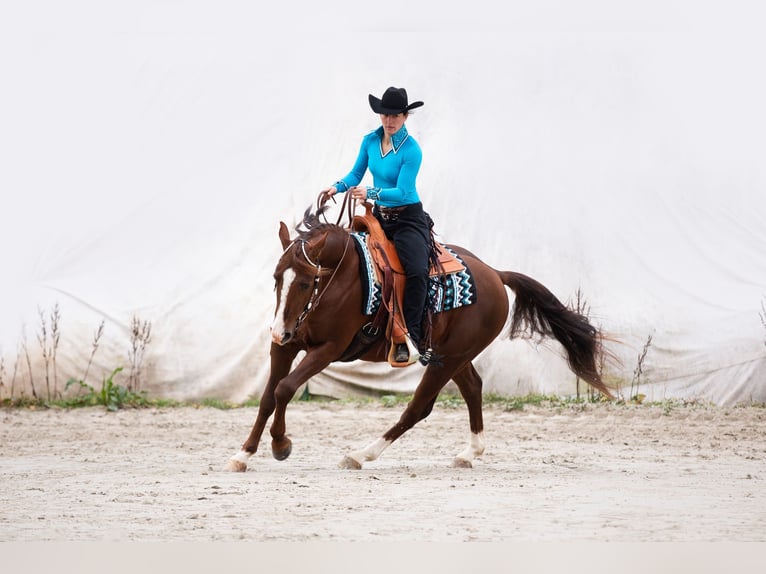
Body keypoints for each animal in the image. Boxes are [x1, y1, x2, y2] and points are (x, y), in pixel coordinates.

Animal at [226, 203, 613, 471]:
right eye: (277, 277)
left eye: (307, 282)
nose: (279, 329)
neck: (344, 275)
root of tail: (494, 273)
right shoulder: (286, 347)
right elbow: (268, 396)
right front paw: (243, 454)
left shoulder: (328, 349)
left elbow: (285, 388)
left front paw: (280, 445)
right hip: (453, 355)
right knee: (473, 387)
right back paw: (469, 453)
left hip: (449, 358)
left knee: (418, 407)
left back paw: (361, 454)